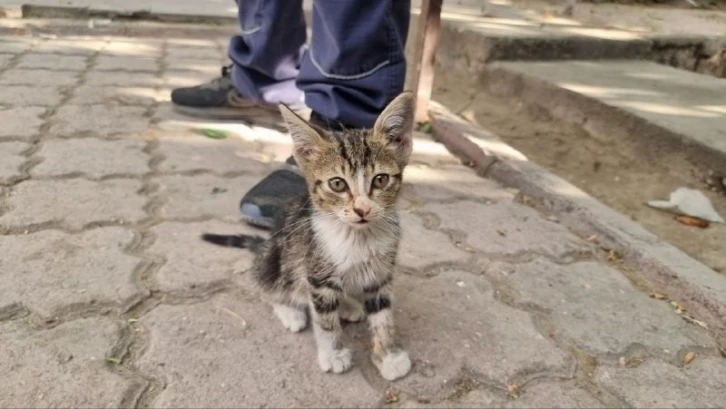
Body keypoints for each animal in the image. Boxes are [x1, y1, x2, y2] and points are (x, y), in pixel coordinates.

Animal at [202, 91, 416, 380]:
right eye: (337, 184)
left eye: (381, 180)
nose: (362, 209)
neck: (358, 237)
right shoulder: (317, 273)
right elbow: (325, 322)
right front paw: (333, 354)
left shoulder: (380, 274)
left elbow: (383, 315)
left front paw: (389, 356)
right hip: (275, 258)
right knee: (269, 285)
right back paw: (290, 310)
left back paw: (348, 305)